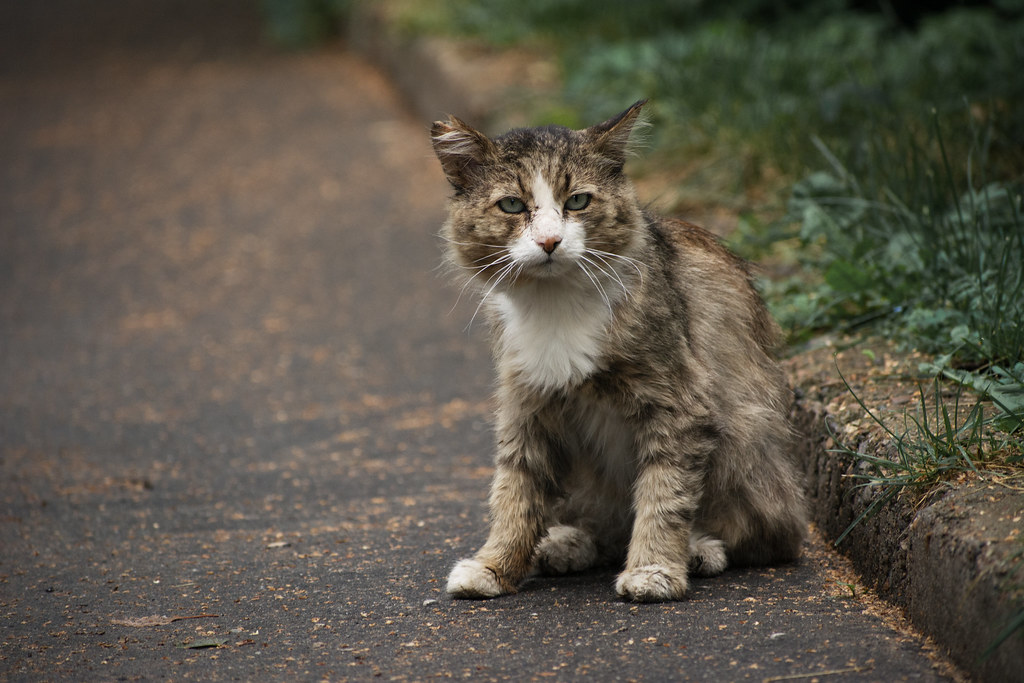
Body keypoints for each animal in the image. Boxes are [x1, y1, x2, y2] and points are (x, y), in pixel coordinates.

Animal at [428, 98, 802, 602]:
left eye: (577, 202)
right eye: (512, 205)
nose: (549, 242)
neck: (556, 305)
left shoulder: (679, 403)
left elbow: (664, 495)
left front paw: (654, 569)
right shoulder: (526, 406)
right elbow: (514, 492)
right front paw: (495, 566)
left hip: (745, 434)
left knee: (766, 533)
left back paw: (699, 549)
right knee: (601, 526)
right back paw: (567, 544)